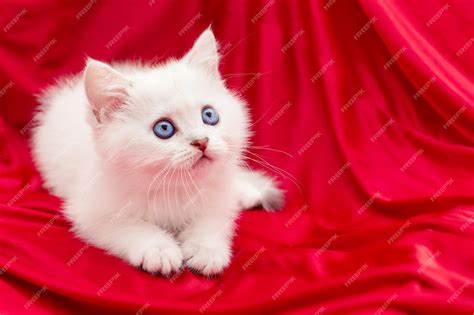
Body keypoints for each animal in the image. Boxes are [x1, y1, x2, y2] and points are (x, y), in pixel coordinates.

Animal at [31, 29, 284, 276]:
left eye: (209, 115)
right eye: (164, 129)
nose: (201, 142)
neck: (175, 188)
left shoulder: (217, 198)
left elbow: (212, 219)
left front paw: (206, 249)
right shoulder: (90, 211)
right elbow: (127, 225)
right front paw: (159, 249)